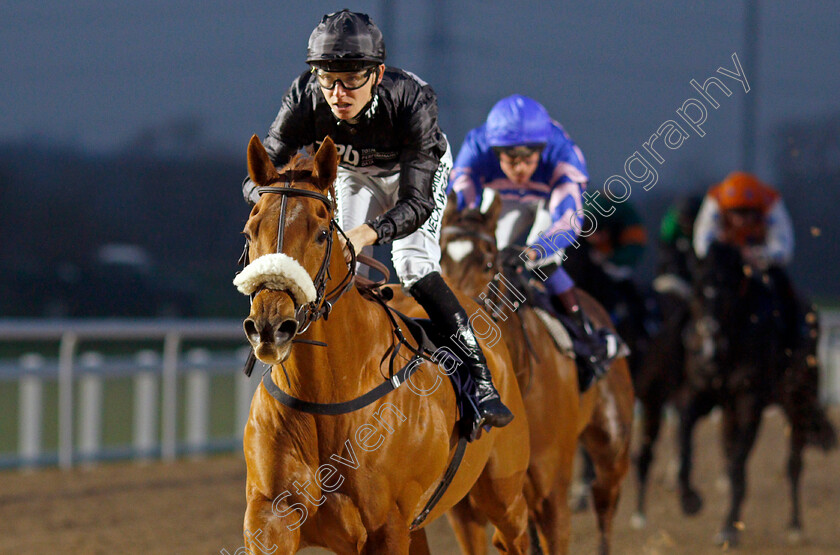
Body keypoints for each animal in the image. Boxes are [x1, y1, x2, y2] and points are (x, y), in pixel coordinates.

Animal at [436, 193, 632, 552]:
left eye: (488, 263)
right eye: (439, 259)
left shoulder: (551, 499)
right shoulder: (464, 511)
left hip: (613, 448)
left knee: (604, 501)